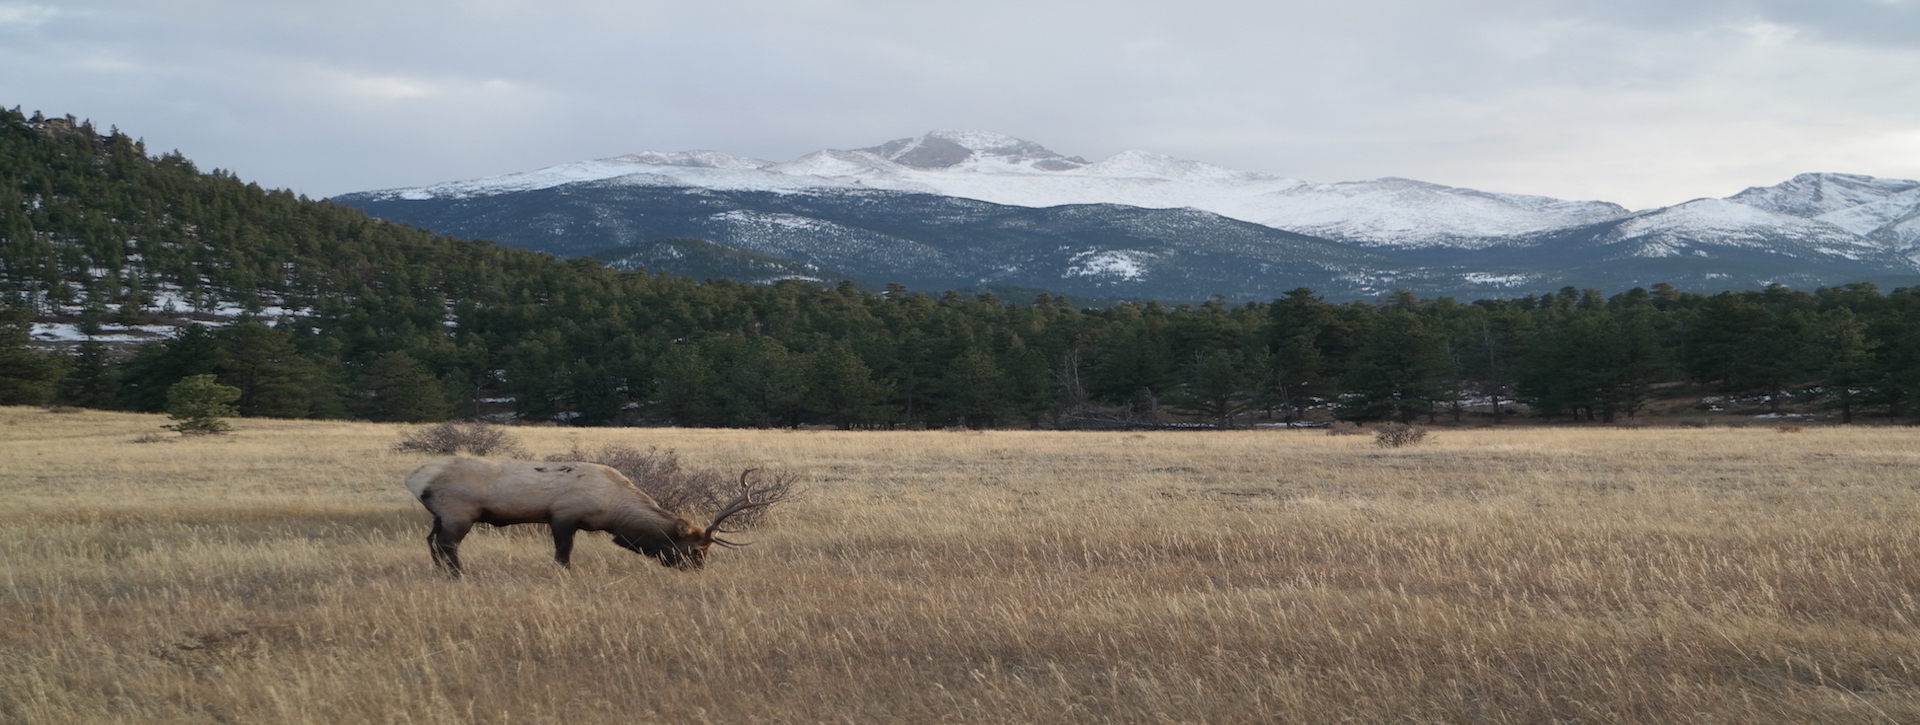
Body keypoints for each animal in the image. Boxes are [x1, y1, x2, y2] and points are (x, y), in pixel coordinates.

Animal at [401, 458, 768, 579]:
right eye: (695, 549)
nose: (698, 571)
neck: (612, 509)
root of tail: (415, 479)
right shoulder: (564, 516)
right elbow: (563, 555)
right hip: (458, 513)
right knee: (447, 545)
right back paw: (459, 576)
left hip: (441, 516)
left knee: (432, 542)